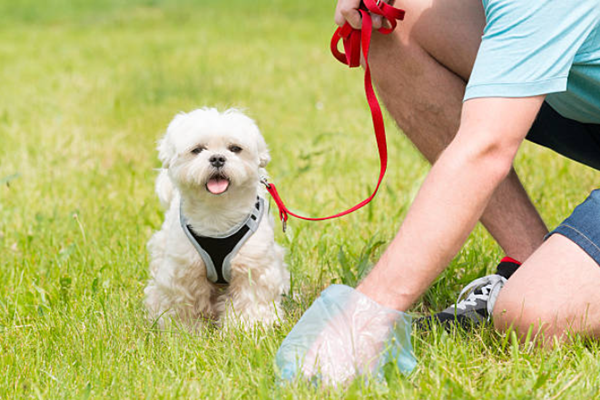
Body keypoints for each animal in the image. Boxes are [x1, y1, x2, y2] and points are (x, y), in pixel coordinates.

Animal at [143, 108, 288, 330]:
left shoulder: (252, 266)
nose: (217, 158)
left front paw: (247, 328)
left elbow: (250, 299)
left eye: (235, 148)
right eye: (197, 150)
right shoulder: (184, 270)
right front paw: (185, 331)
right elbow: (184, 303)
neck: (217, 214)